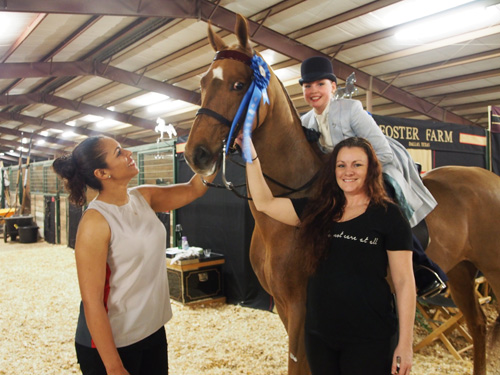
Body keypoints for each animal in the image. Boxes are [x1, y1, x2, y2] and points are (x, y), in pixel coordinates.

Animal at [185, 14, 500, 375]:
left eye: (238, 85)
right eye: (203, 83)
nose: (196, 155)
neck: (285, 207)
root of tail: (489, 178)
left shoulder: (301, 307)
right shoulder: (284, 306)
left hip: (493, 268)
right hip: (462, 271)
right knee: (478, 324)